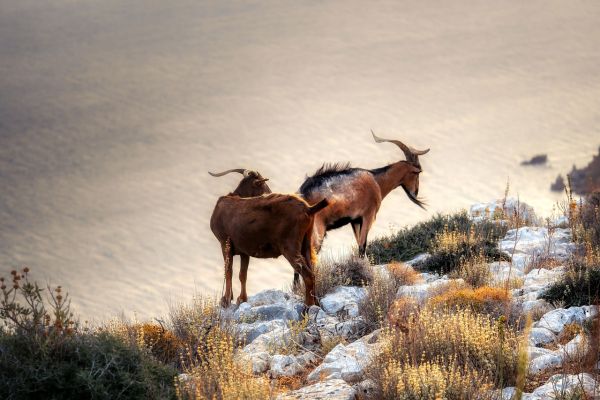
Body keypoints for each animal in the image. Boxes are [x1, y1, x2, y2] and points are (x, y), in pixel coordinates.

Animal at [210, 169, 328, 306]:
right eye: (263, 185)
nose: (270, 192)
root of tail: (309, 209)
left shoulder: (224, 242)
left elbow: (229, 271)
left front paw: (226, 300)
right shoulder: (244, 250)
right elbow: (242, 274)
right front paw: (241, 299)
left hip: (290, 246)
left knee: (307, 274)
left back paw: (308, 306)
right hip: (306, 242)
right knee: (312, 271)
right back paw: (316, 303)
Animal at [298, 131, 428, 268]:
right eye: (418, 172)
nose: (415, 192)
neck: (376, 180)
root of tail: (302, 194)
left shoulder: (355, 220)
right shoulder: (368, 216)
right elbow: (362, 246)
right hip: (317, 233)